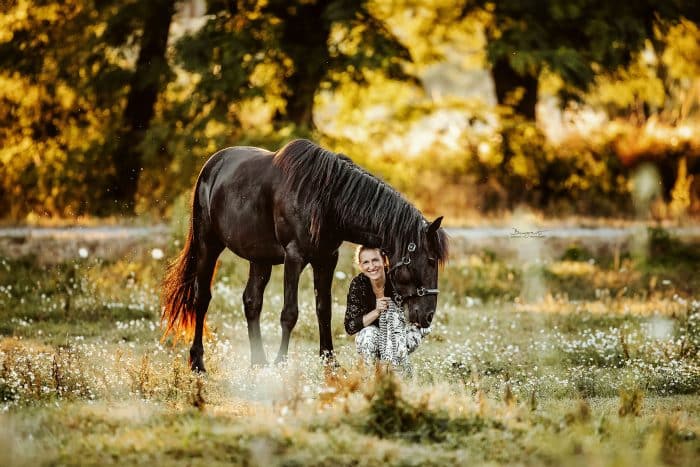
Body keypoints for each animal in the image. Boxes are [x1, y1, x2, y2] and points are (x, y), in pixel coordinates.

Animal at [163, 137, 448, 372]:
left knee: (252, 301)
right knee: (202, 299)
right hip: (207, 244)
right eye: (430, 260)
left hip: (259, 258)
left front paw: (330, 361)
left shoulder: (326, 259)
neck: (326, 199)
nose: (428, 316)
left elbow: (324, 309)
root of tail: (213, 165)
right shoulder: (295, 258)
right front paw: (281, 363)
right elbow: (290, 313)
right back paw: (198, 362)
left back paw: (258, 362)